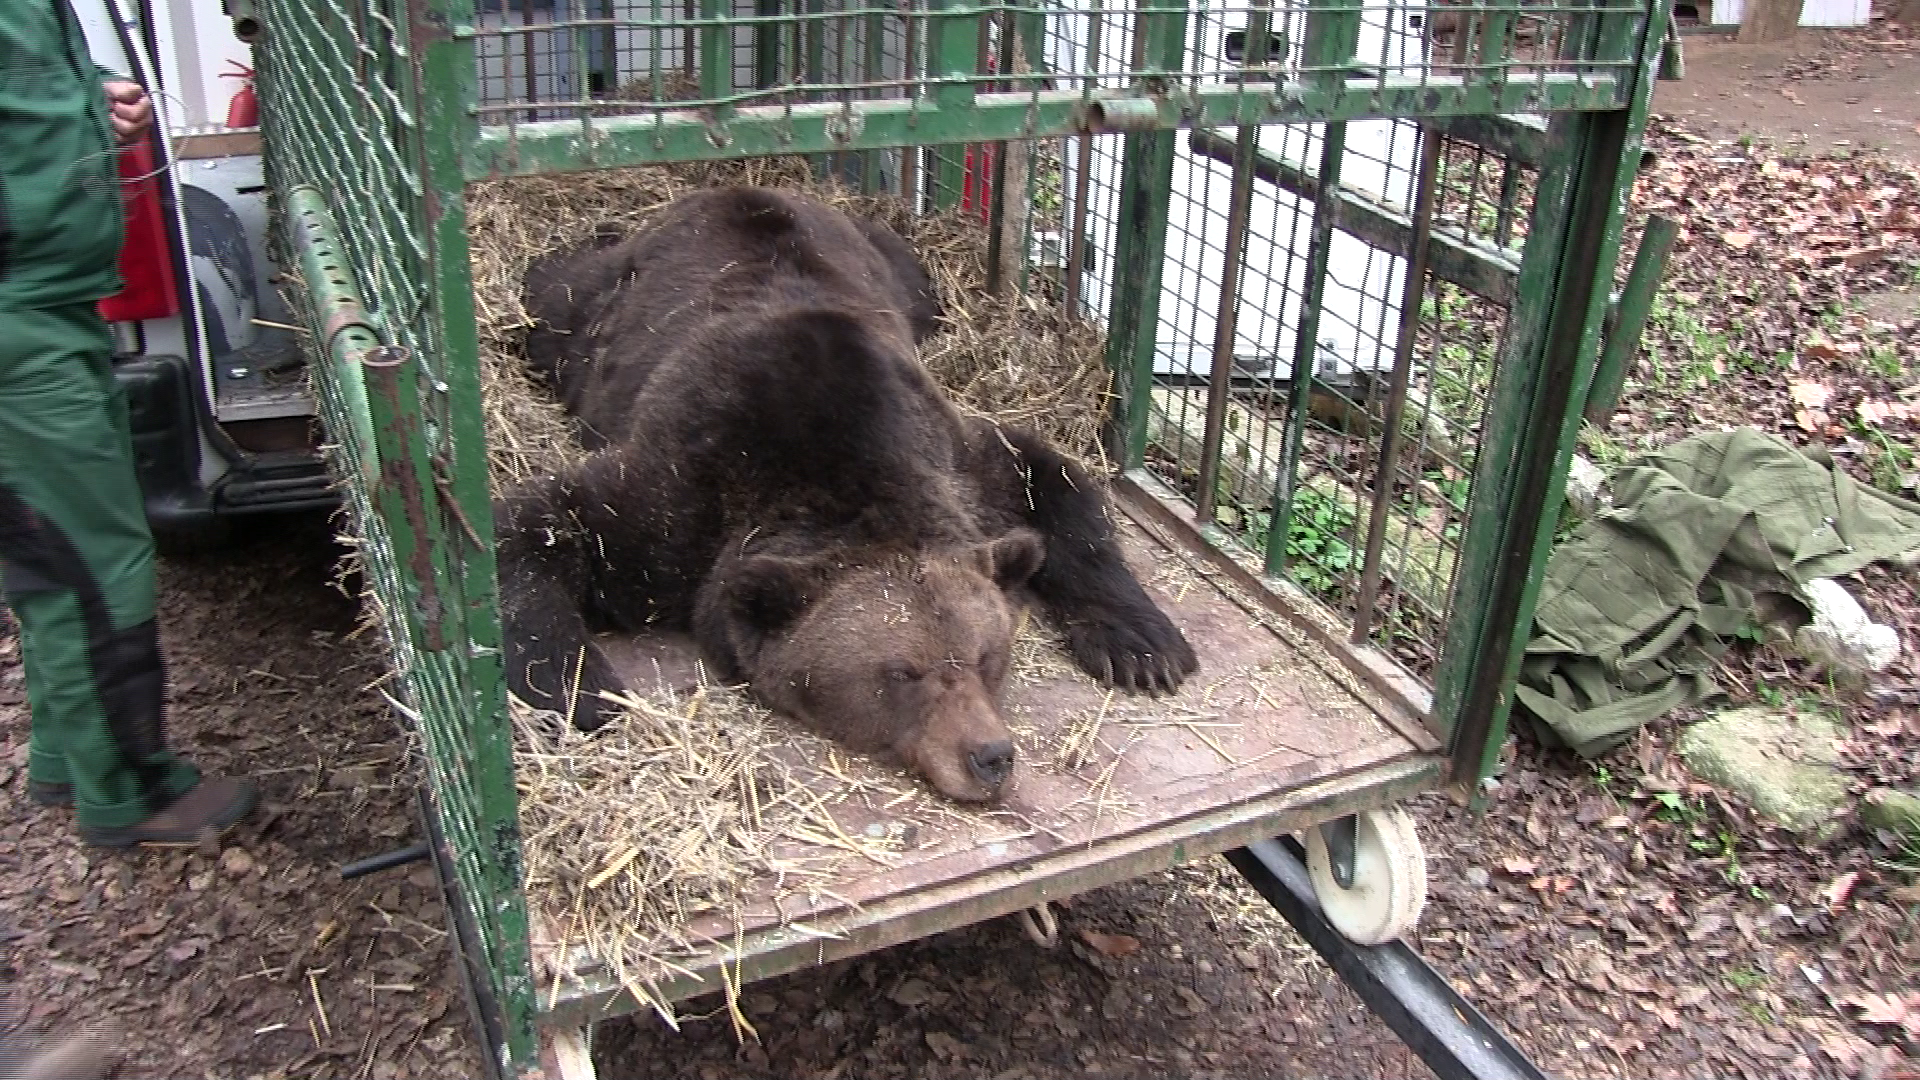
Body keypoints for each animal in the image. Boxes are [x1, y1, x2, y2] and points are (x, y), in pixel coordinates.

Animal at [499, 187, 1198, 799]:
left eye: (985, 656)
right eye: (901, 672)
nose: (990, 756)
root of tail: (732, 186)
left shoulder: (955, 458)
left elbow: (1050, 482)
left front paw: (1146, 647)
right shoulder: (675, 501)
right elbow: (541, 523)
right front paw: (585, 696)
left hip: (900, 273)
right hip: (591, 314)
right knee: (553, 290)